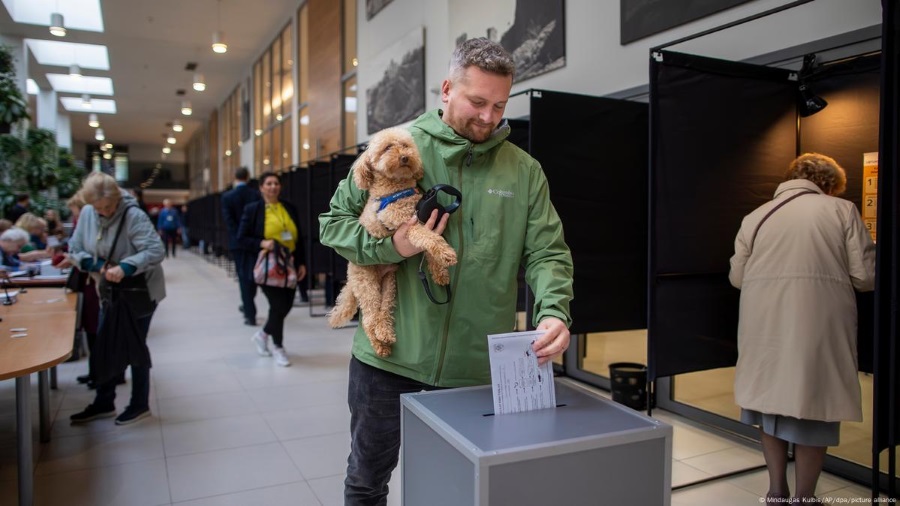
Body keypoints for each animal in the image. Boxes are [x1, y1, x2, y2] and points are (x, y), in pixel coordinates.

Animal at [326, 126, 458, 356]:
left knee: (383, 311)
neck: (397, 189)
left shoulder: (422, 220)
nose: (405, 157)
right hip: (367, 282)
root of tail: (350, 279)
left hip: (389, 284)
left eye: (405, 145)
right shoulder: (407, 226)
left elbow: (430, 246)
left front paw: (440, 272)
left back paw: (385, 334)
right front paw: (446, 254)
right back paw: (380, 345)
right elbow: (430, 238)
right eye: (387, 148)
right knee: (369, 318)